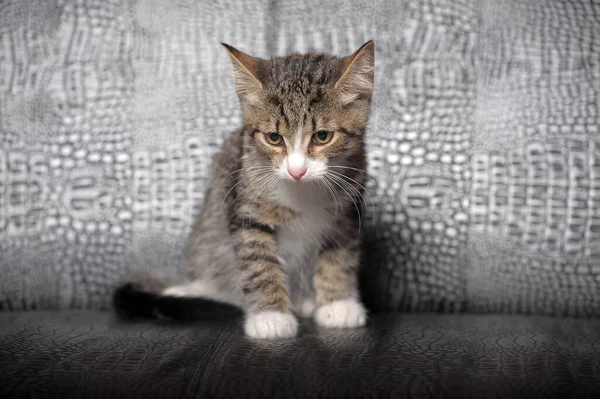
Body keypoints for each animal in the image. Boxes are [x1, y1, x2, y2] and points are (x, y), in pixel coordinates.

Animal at [113, 41, 376, 340]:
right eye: (274, 138)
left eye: (322, 136)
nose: (297, 170)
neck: (302, 191)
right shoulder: (248, 206)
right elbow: (258, 260)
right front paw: (270, 316)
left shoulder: (347, 211)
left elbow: (339, 255)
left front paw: (338, 303)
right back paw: (190, 289)